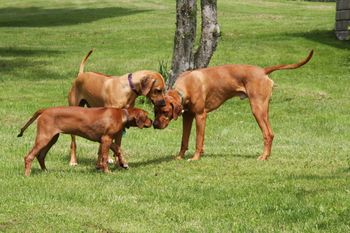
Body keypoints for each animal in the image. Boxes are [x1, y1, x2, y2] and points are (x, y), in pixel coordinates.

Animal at [17, 106, 152, 176]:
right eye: (146, 116)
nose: (152, 122)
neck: (123, 114)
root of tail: (45, 110)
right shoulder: (106, 139)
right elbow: (104, 157)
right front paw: (107, 171)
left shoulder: (106, 140)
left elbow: (118, 149)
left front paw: (124, 163)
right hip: (44, 138)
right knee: (29, 156)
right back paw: (27, 174)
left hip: (52, 139)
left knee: (41, 156)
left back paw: (45, 171)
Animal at [154, 50, 314, 161]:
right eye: (155, 111)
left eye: (165, 111)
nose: (154, 125)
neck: (184, 88)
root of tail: (262, 70)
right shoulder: (187, 116)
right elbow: (184, 139)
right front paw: (180, 156)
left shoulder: (200, 116)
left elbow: (199, 139)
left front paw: (195, 157)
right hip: (264, 109)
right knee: (271, 133)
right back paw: (267, 155)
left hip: (257, 109)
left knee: (267, 134)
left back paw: (263, 156)